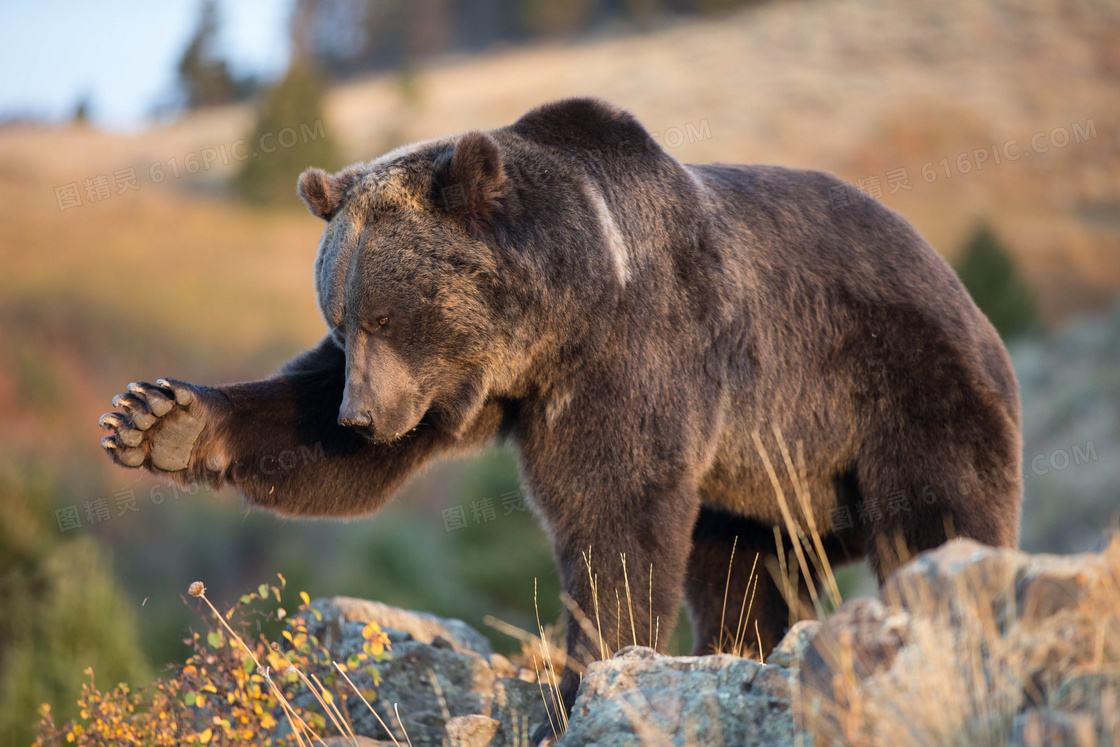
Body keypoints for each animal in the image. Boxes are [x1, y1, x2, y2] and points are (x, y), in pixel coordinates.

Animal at [100, 97, 1021, 743]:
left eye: (388, 314)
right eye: (342, 316)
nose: (361, 415)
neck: (559, 316)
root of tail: (965, 294)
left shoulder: (636, 351)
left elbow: (615, 511)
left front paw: (578, 689)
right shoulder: (471, 388)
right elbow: (317, 443)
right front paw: (156, 418)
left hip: (897, 392)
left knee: (939, 518)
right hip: (762, 480)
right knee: (741, 572)